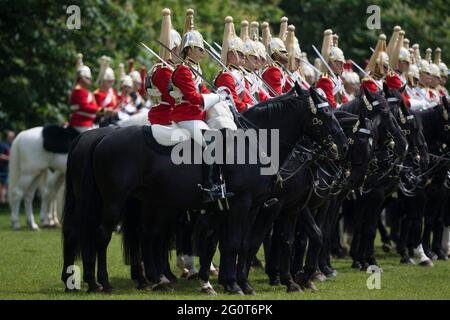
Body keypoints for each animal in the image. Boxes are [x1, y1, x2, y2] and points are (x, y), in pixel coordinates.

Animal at [8, 110, 149, 230]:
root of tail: (22, 134)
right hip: (30, 173)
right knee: (19, 193)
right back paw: (18, 223)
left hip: (39, 173)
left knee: (31, 195)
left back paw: (34, 223)